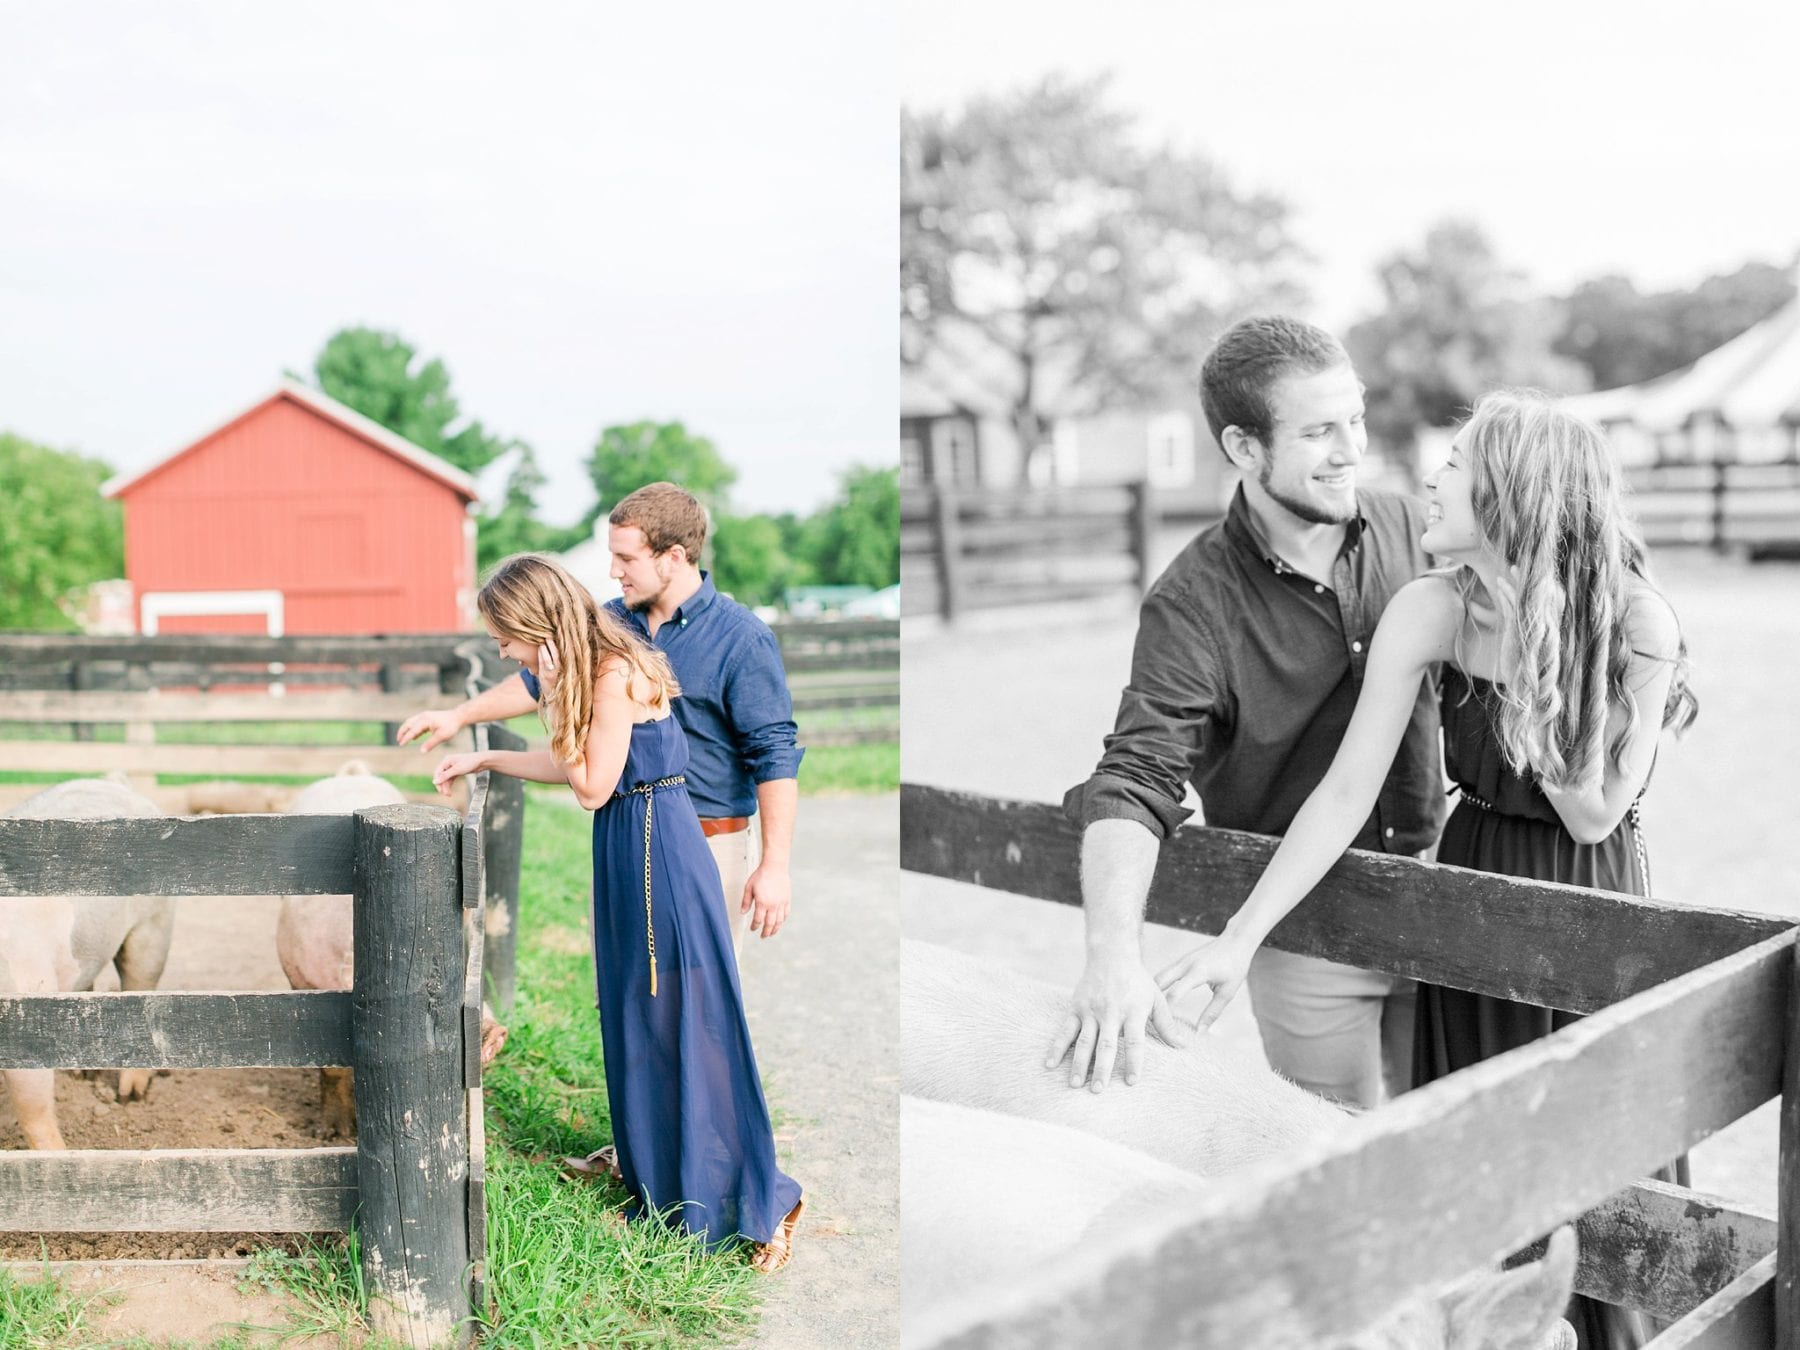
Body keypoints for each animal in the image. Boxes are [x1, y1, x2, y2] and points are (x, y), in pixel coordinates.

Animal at [2, 781, 175, 1152]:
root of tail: (113, 783)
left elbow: (33, 1108)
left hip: (154, 924)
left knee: (141, 985)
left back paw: (129, 1097)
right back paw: (83, 1073)